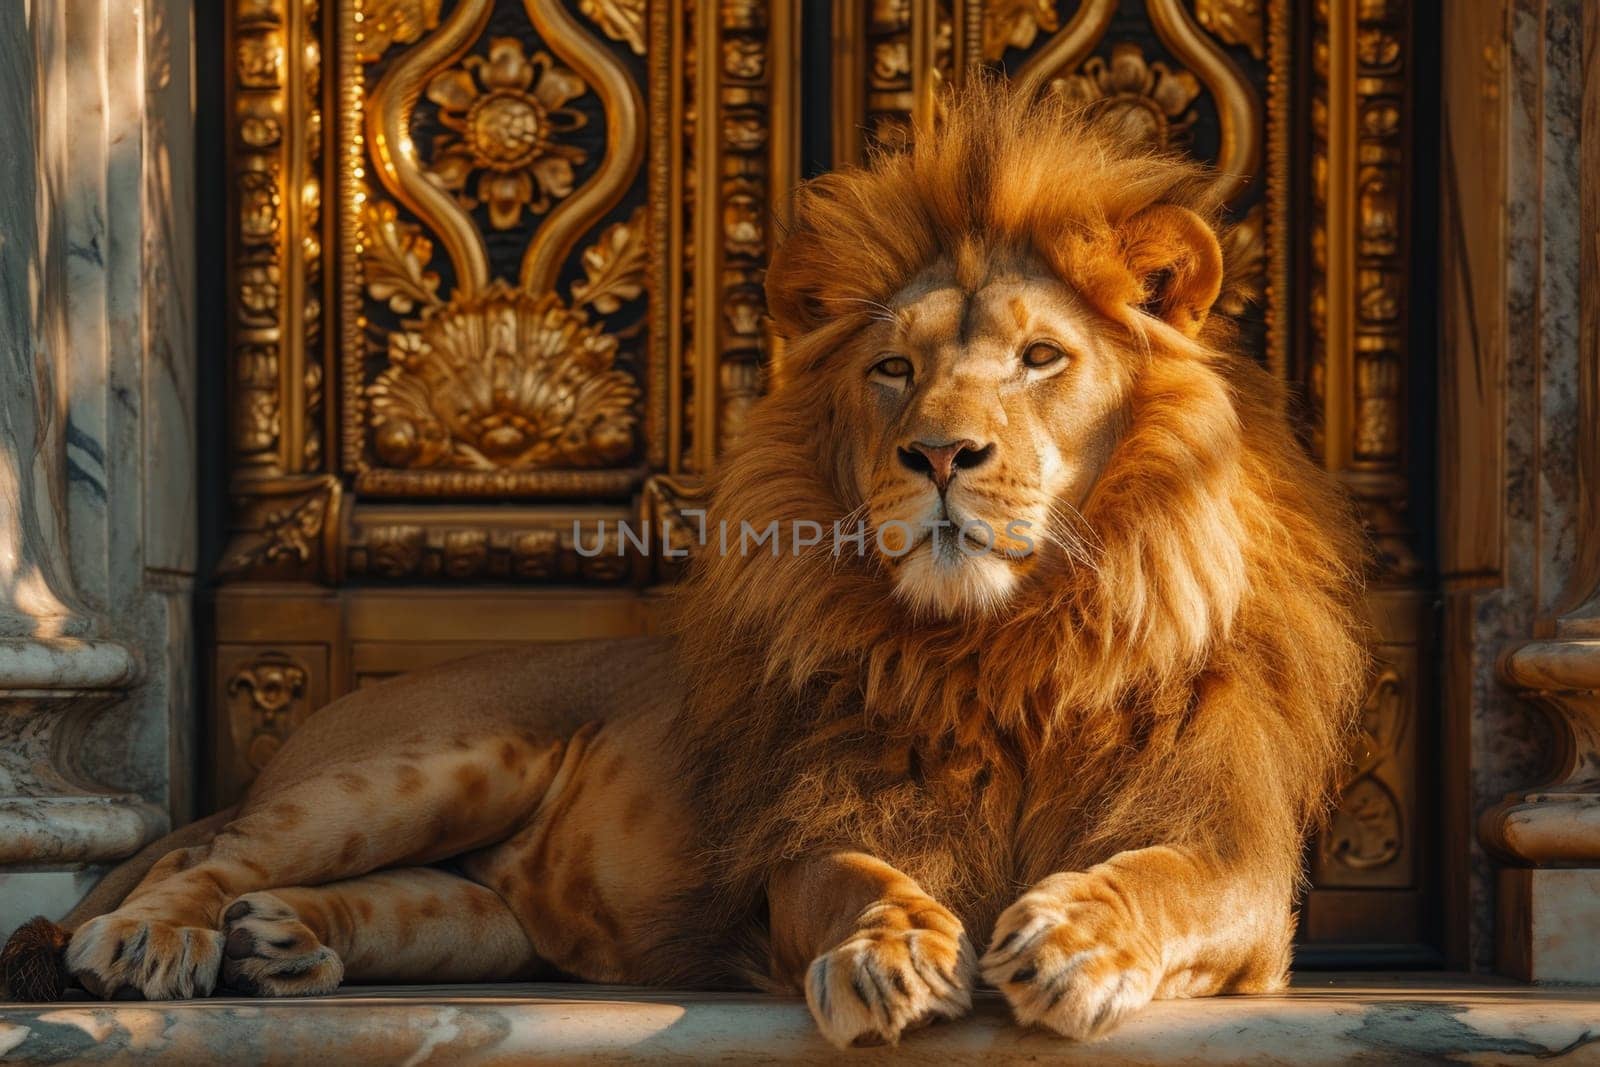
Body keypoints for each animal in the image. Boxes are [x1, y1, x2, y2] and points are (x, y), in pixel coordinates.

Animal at [6, 85, 1369, 1049]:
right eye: (893, 369)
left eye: (1042, 357)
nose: (940, 452)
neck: (1009, 642)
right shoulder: (813, 832)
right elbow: (859, 877)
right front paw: (889, 950)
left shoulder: (1241, 878)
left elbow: (1159, 882)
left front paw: (1075, 941)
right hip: (414, 766)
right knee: (203, 856)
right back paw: (152, 942)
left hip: (485, 915)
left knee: (398, 902)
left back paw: (283, 945)